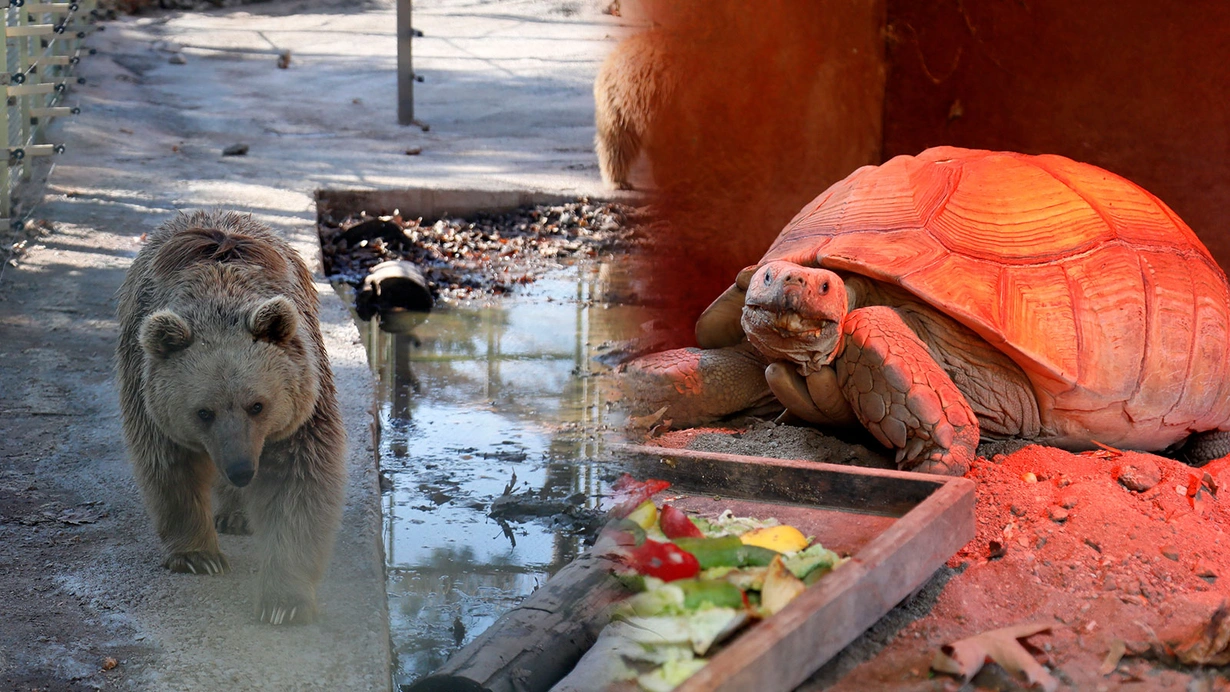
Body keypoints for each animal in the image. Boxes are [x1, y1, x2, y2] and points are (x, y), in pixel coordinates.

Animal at [116, 208, 346, 624]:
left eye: (258, 404)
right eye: (203, 412)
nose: (241, 469)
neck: (218, 297)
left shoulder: (303, 403)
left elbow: (298, 480)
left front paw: (284, 600)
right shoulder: (149, 396)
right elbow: (169, 466)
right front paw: (198, 555)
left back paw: (237, 515)